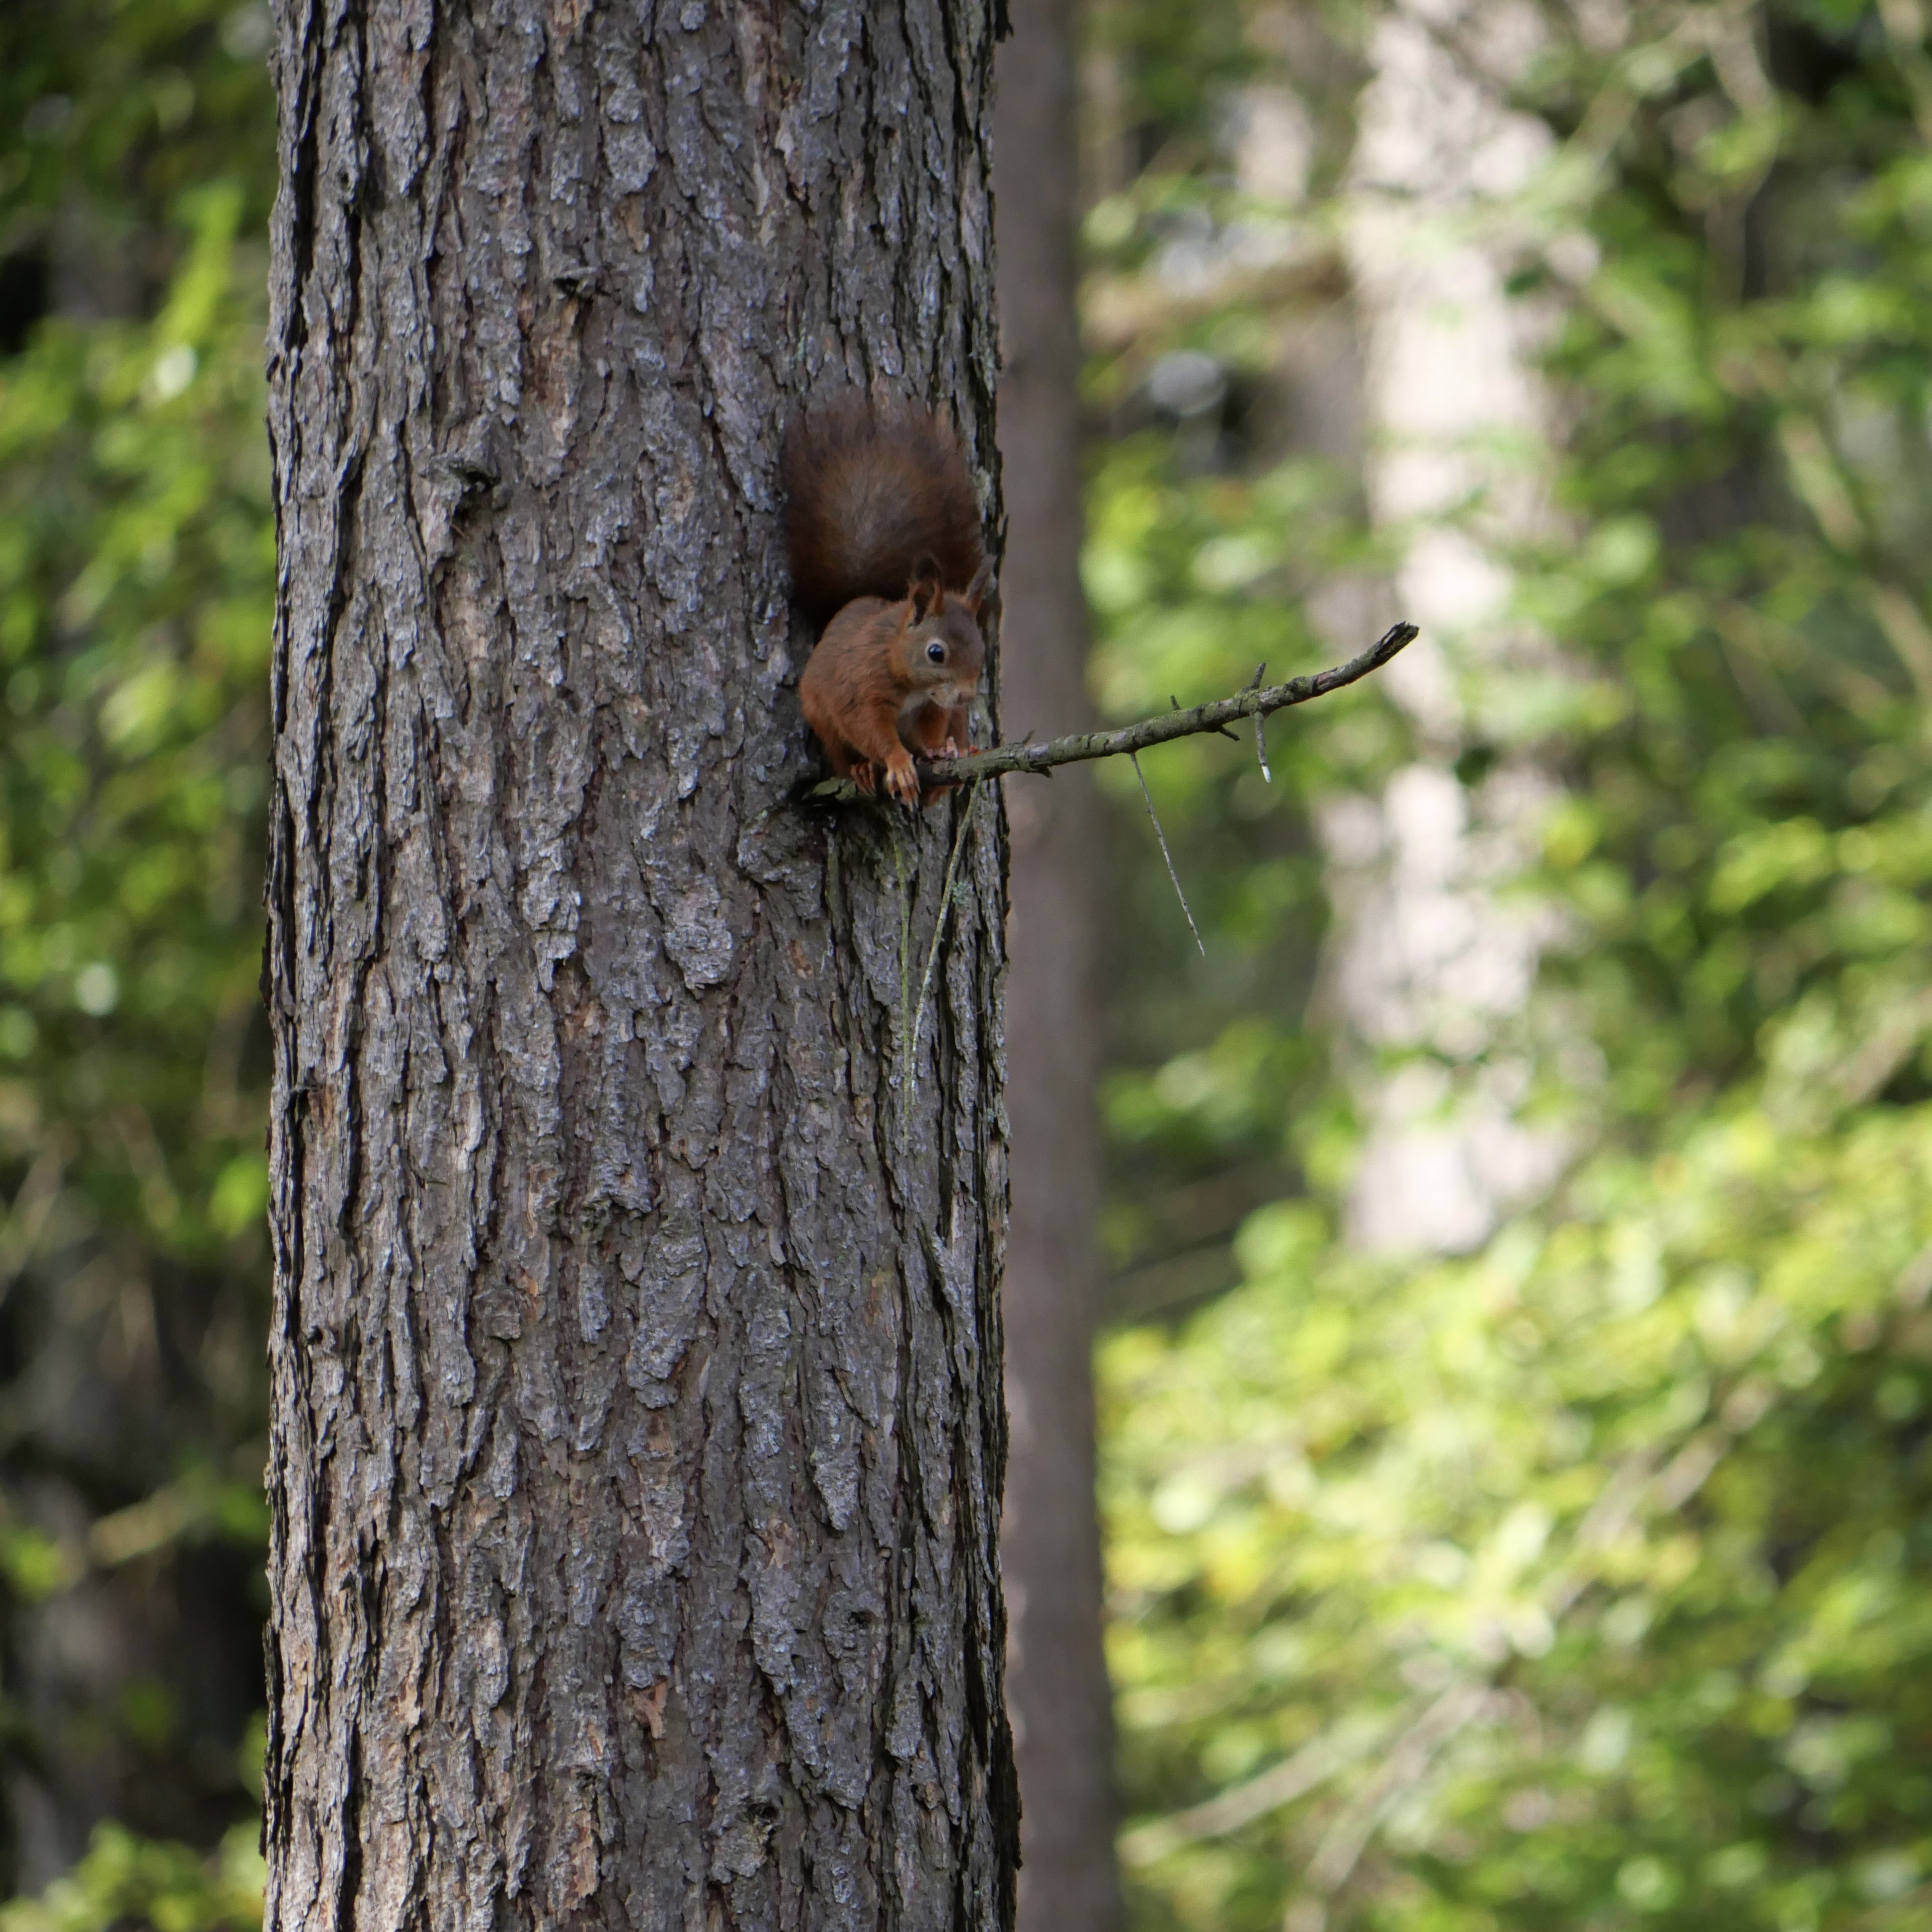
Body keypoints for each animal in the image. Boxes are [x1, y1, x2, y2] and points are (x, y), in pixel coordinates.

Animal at [784, 396, 997, 811]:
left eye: (981, 651)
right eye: (936, 653)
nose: (966, 694)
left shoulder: (935, 704)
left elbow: (931, 729)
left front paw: (936, 750)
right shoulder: (860, 689)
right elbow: (870, 730)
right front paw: (898, 762)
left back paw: (962, 750)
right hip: (821, 718)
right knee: (842, 752)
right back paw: (863, 769)